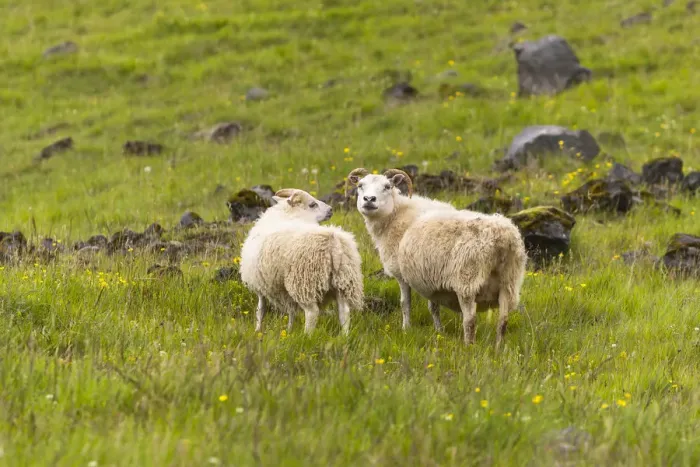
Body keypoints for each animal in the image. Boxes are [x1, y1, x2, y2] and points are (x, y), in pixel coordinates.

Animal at [239, 188, 364, 335]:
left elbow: (261, 309)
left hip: (304, 280)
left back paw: (307, 336)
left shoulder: (260, 283)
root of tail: (334, 242)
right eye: (312, 204)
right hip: (344, 280)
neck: (289, 214)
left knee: (312, 312)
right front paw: (289, 329)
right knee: (344, 312)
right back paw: (344, 336)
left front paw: (258, 329)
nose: (331, 210)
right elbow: (290, 310)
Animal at [346, 168, 527, 347]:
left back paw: (468, 347)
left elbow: (405, 303)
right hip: (509, 282)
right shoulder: (431, 280)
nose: (369, 199)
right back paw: (499, 348)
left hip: (467, 281)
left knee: (470, 320)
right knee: (503, 321)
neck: (395, 216)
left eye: (387, 186)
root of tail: (502, 237)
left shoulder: (402, 275)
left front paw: (406, 329)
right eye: (360, 185)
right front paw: (439, 331)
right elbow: (433, 307)